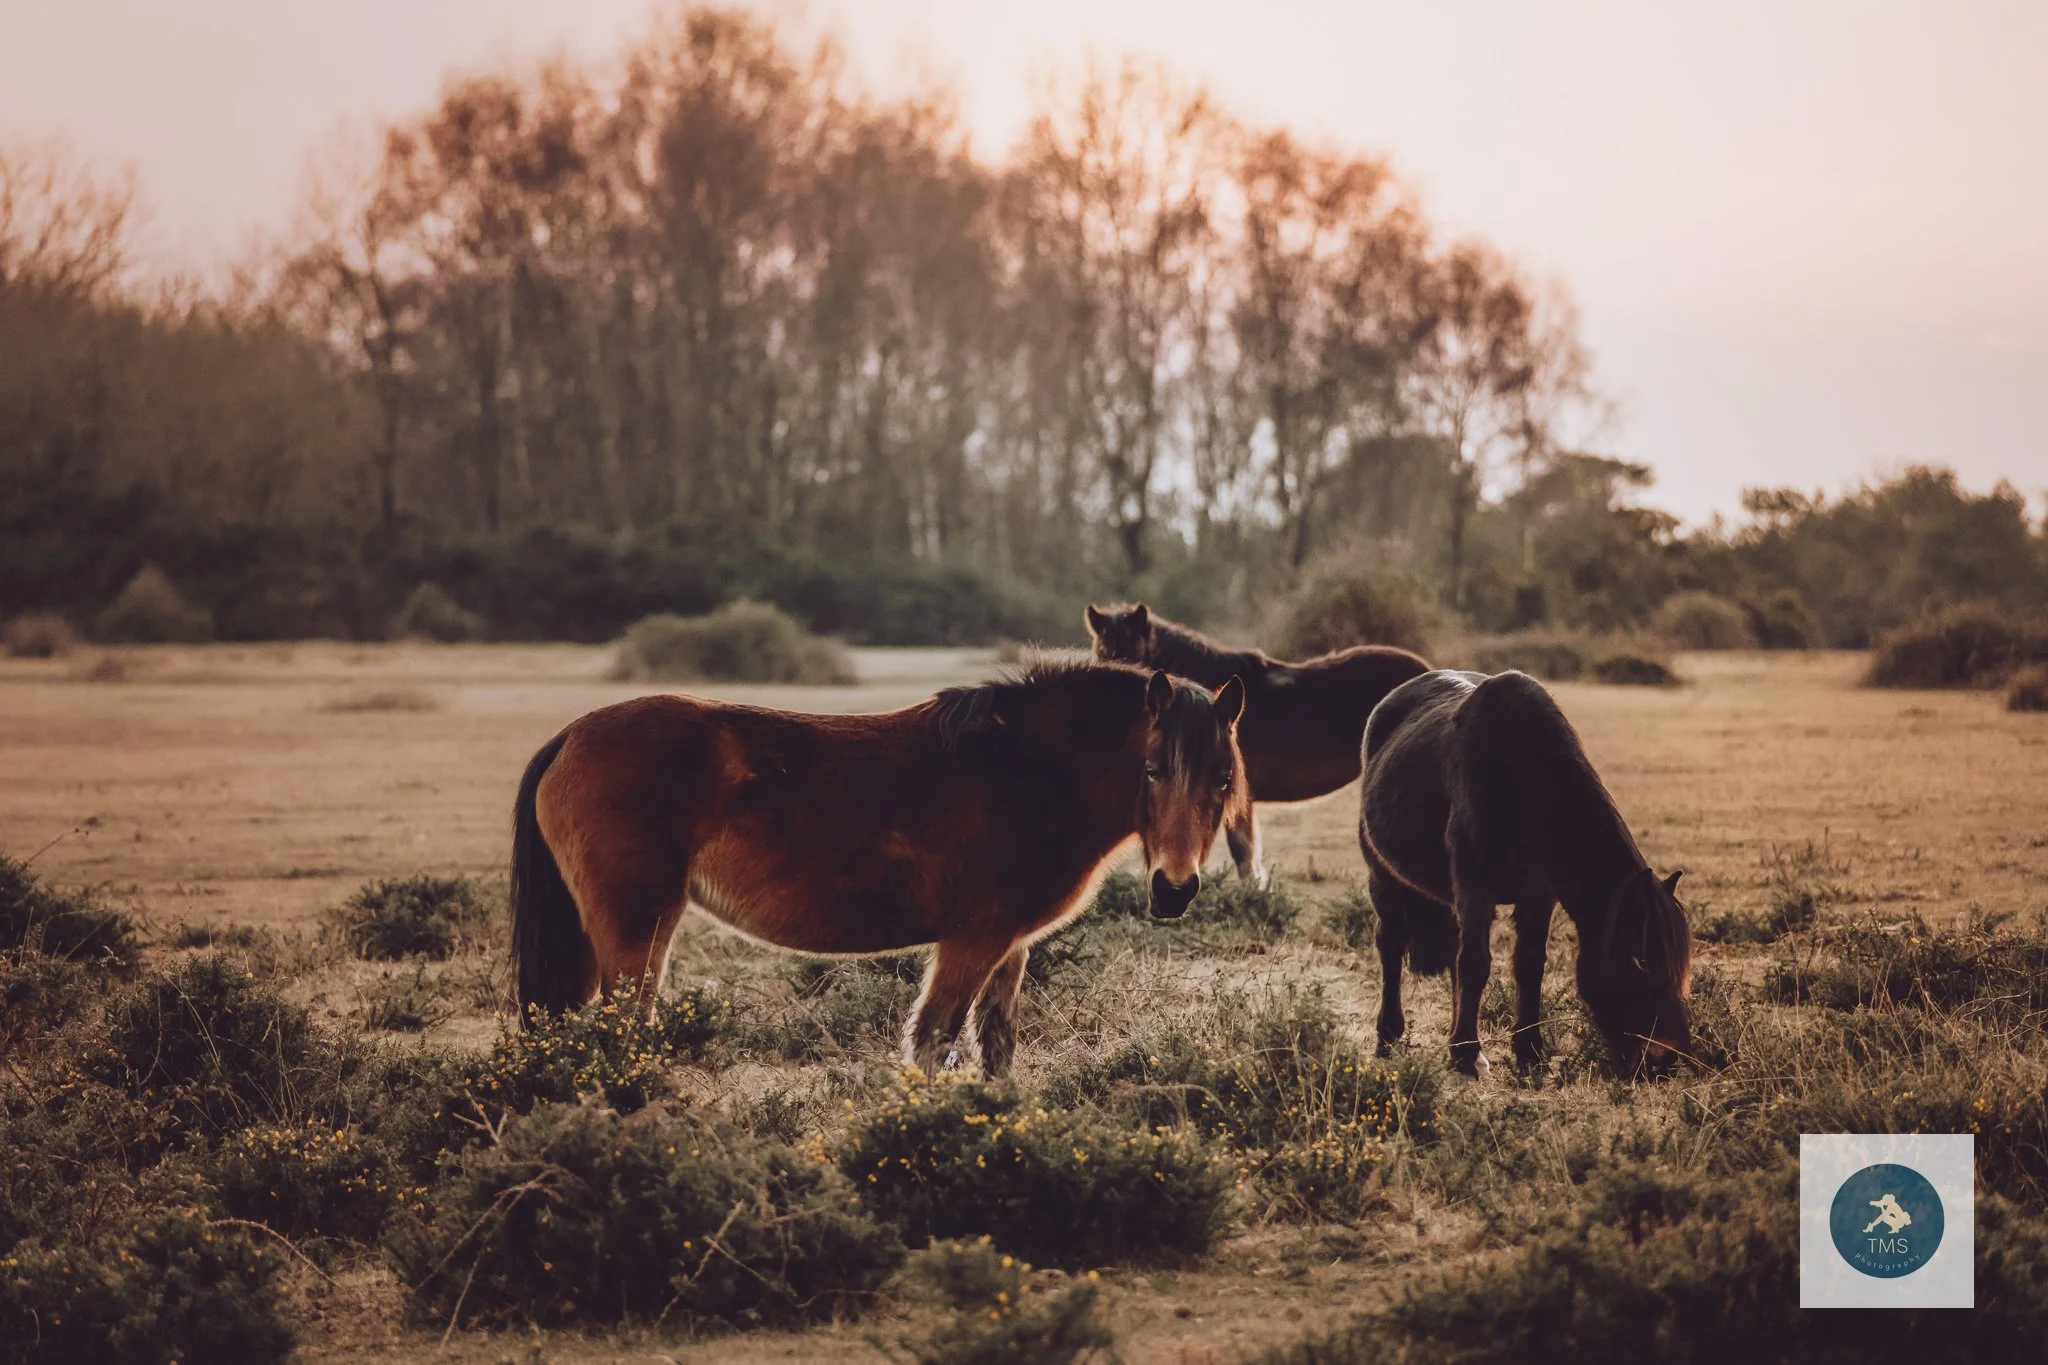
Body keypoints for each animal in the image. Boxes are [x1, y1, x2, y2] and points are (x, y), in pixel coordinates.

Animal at [510, 657, 1248, 1078]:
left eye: (1221, 779)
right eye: (1153, 770)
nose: (1175, 889)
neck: (1027, 770)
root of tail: (569, 737)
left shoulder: (1010, 948)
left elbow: (996, 1047)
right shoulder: (972, 940)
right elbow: (932, 1040)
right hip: (635, 927)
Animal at [1356, 669, 1692, 1078]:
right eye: (1639, 962)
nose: (1665, 1059)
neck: (1519, 779)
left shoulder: (1537, 896)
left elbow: (1529, 965)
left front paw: (1529, 1053)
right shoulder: (1474, 891)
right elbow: (1475, 964)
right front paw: (1466, 1056)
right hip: (1384, 879)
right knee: (1390, 945)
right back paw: (1389, 1039)